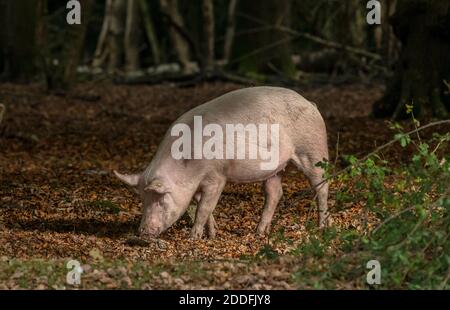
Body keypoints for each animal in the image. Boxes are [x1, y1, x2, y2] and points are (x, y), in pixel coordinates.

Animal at [114, 87, 328, 240]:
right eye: (142, 199)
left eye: (161, 198)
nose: (142, 232)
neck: (187, 168)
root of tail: (311, 104)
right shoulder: (197, 185)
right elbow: (203, 206)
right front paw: (212, 235)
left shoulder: (216, 177)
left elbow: (203, 208)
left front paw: (193, 238)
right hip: (274, 169)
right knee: (275, 193)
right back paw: (259, 233)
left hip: (313, 150)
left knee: (322, 186)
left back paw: (322, 227)